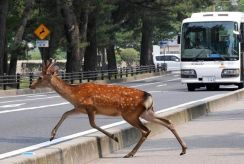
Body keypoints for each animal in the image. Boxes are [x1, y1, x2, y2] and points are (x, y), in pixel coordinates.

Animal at [30, 58, 187, 158]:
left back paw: (130, 153)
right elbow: (65, 113)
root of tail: (148, 96)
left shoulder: (89, 107)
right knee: (167, 122)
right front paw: (51, 136)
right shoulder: (79, 108)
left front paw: (114, 137)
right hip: (147, 112)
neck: (74, 94)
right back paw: (183, 149)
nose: (31, 86)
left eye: (40, 77)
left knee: (146, 130)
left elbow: (93, 124)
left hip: (130, 114)